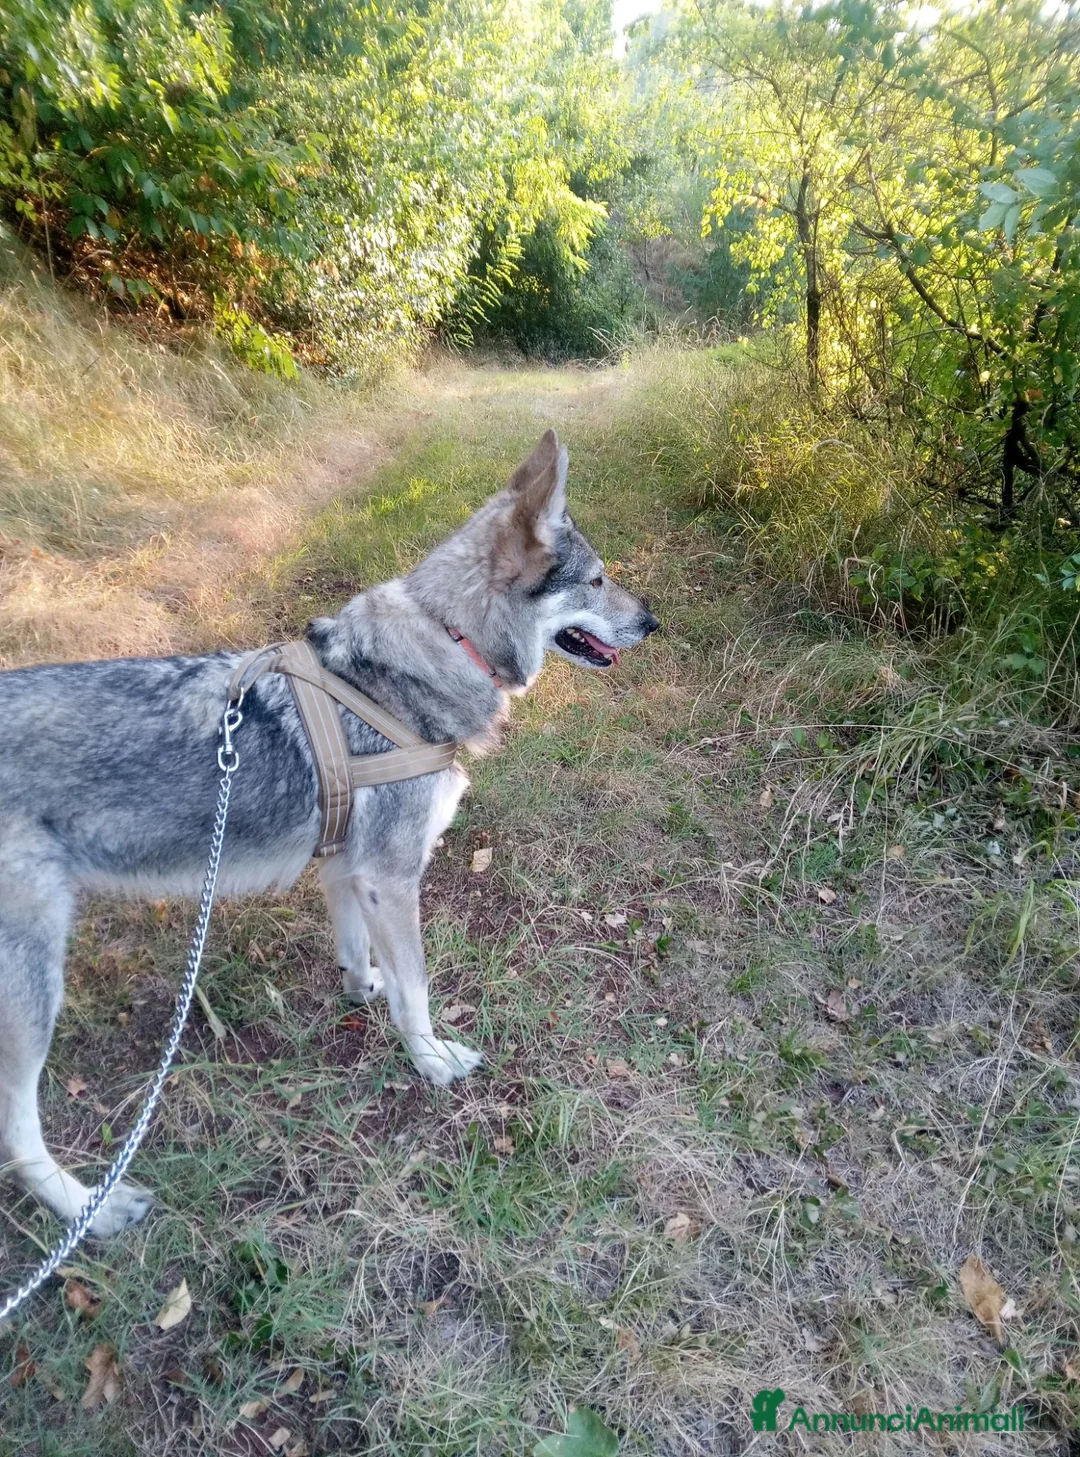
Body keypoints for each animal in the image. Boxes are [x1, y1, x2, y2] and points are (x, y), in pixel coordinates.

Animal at [0, 429, 658, 1236]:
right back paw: (90, 1209)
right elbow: (418, 991)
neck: (440, 648)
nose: (655, 622)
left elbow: (361, 959)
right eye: (597, 580)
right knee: (17, 1133)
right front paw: (431, 1060)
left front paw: (362, 989)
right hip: (35, 983)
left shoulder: (348, 869)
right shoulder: (392, 877)